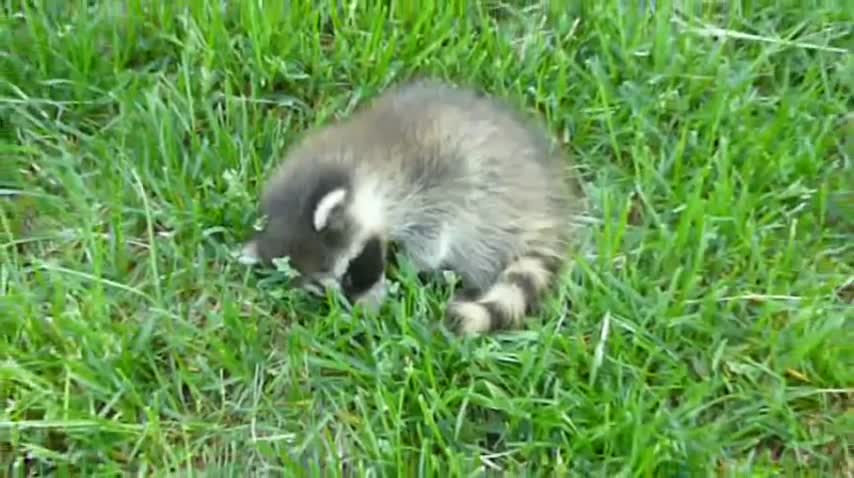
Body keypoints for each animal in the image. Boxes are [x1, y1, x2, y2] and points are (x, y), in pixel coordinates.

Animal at [239, 78, 588, 334]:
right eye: (320, 291)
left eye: (349, 273)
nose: (363, 314)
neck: (359, 165)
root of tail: (548, 209)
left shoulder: (437, 178)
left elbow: (436, 233)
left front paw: (407, 266)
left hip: (496, 205)